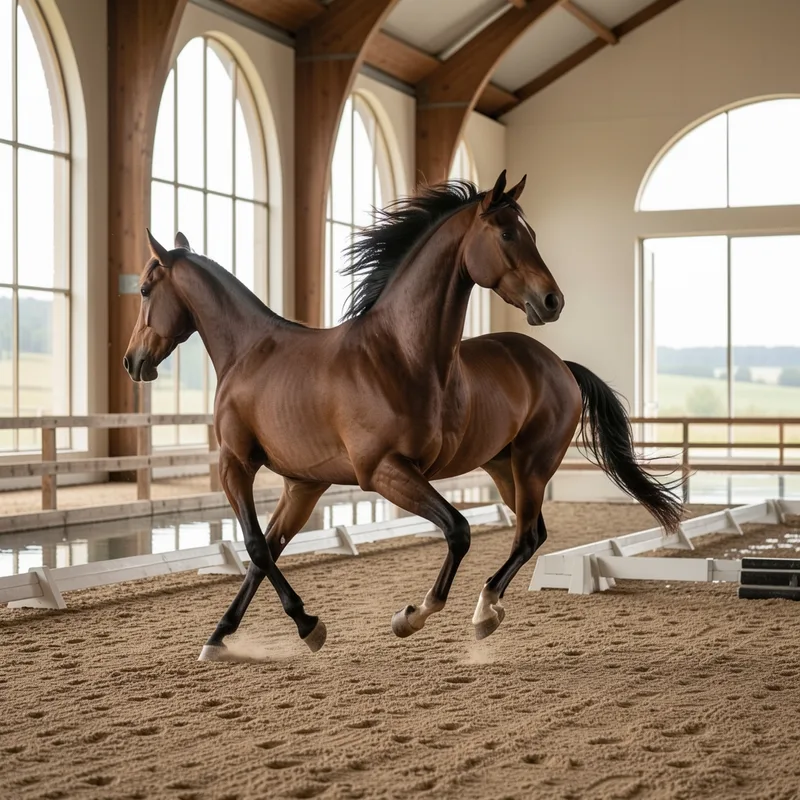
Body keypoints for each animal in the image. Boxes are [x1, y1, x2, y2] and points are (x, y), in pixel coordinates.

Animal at [124, 171, 681, 661]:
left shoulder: (308, 468)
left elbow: (455, 530)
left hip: (530, 467)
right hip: (506, 467)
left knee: (526, 535)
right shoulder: (303, 483)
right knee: (531, 534)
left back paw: (483, 612)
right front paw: (230, 636)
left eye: (145, 290)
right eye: (507, 233)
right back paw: (488, 610)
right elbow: (268, 551)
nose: (551, 301)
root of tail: (557, 363)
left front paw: (397, 618)